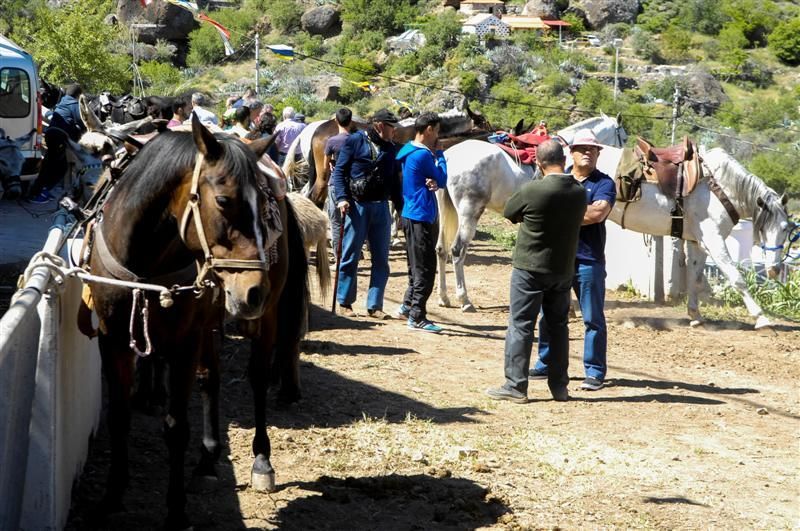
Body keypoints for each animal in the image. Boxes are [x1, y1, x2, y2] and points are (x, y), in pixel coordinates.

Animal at [83, 115, 304, 528]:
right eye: (223, 200)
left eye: (262, 205)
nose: (253, 290)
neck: (145, 263)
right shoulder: (113, 338)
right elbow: (119, 416)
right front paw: (111, 496)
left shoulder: (182, 343)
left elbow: (176, 426)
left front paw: (175, 511)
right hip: (211, 320)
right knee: (210, 379)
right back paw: (206, 460)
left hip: (264, 317)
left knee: (257, 377)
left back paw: (261, 460)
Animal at [438, 114, 632, 310]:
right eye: (624, 137)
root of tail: (449, 156)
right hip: (469, 212)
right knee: (457, 250)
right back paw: (464, 299)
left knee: (441, 249)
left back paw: (444, 297)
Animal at [596, 145, 792, 328]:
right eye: (763, 228)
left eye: (785, 228)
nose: (774, 270)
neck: (719, 187)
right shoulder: (714, 242)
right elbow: (736, 278)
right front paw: (761, 318)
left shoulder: (698, 242)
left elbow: (694, 278)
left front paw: (695, 315)